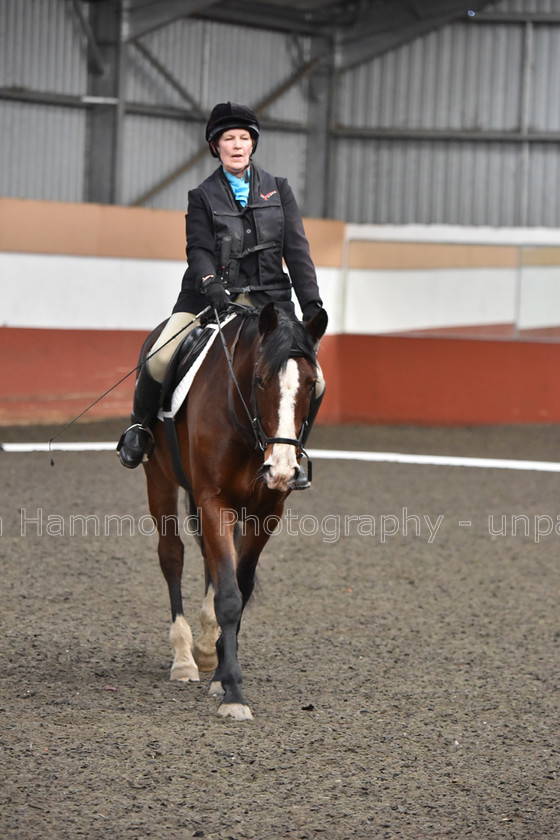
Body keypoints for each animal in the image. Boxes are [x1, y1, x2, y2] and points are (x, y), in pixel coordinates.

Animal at [142, 304, 328, 720]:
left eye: (311, 385)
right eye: (259, 380)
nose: (282, 469)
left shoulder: (266, 512)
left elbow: (239, 588)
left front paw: (222, 675)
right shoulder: (214, 501)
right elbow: (228, 596)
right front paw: (234, 695)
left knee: (208, 560)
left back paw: (206, 651)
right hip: (158, 476)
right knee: (172, 555)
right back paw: (184, 657)